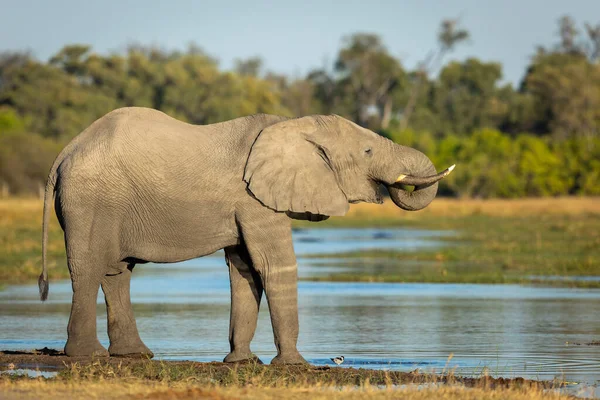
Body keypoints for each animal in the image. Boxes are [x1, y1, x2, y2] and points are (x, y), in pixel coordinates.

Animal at [37, 108, 452, 364]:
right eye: (367, 151)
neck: (294, 125)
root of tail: (64, 153)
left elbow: (245, 269)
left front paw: (243, 362)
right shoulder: (254, 199)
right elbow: (275, 265)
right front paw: (294, 365)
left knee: (117, 271)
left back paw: (135, 355)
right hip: (91, 200)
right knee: (89, 268)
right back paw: (88, 356)